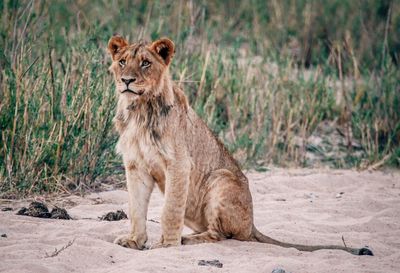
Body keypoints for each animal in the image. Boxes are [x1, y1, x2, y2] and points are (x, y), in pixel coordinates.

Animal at [106, 35, 372, 255]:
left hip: (221, 177)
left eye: (145, 63)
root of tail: (252, 225)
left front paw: (167, 245)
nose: (127, 80)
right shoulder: (135, 166)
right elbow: (136, 208)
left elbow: (170, 210)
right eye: (122, 62)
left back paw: (185, 239)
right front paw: (134, 241)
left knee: (222, 235)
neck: (139, 110)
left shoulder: (179, 163)